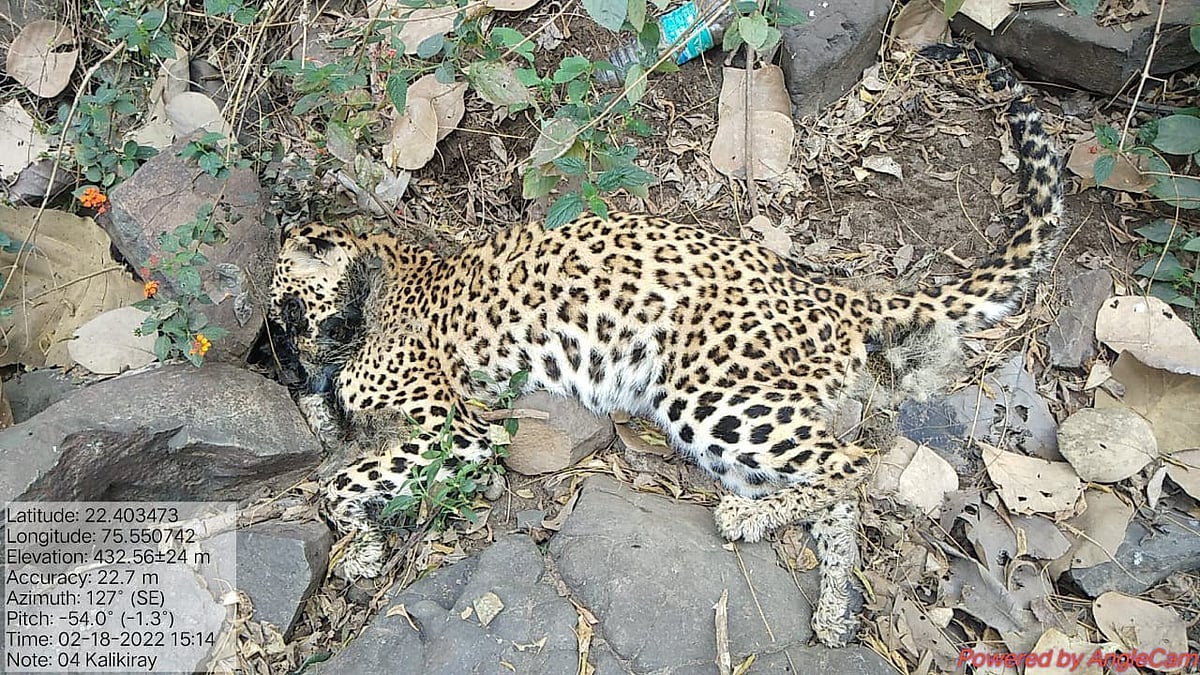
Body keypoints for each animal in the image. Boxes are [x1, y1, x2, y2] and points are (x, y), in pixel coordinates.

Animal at [268, 44, 1064, 648]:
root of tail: (829, 290)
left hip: (712, 395)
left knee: (852, 464)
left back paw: (747, 522)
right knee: (834, 490)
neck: (381, 281)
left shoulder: (457, 429)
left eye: (284, 314)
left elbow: (338, 482)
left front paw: (360, 547)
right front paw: (342, 474)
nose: (288, 367)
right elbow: (338, 447)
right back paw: (834, 608)